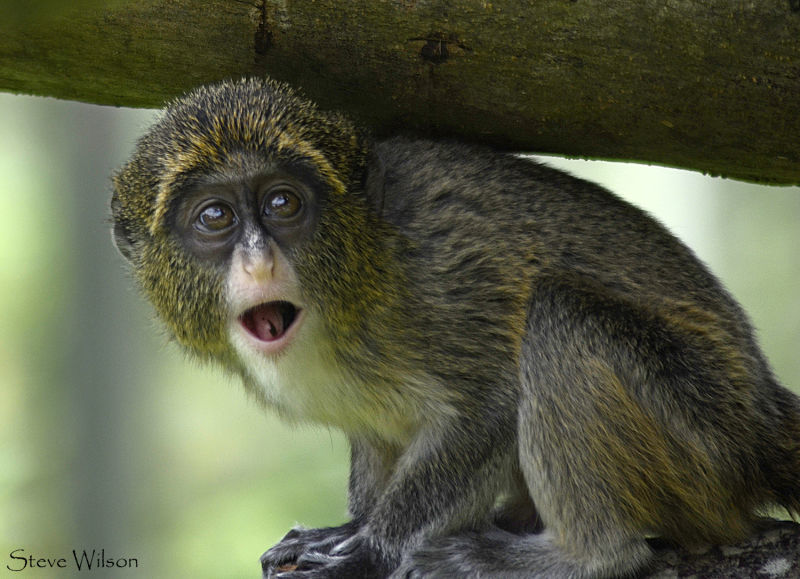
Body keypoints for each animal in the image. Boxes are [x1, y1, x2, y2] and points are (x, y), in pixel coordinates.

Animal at [111, 78, 800, 579]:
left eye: (283, 203)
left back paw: (583, 555)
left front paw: (372, 550)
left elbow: (492, 405)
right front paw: (352, 528)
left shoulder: (440, 278)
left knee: (560, 316)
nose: (259, 260)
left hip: (699, 437)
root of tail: (760, 416)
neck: (364, 267)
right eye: (215, 217)